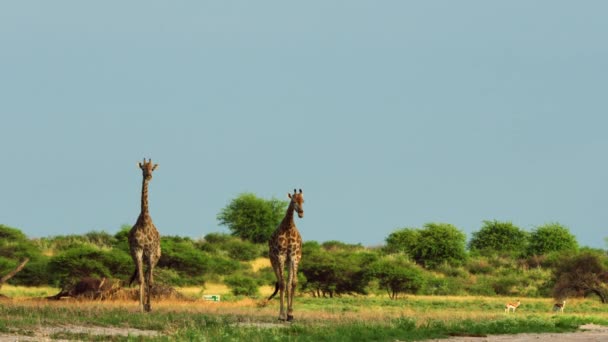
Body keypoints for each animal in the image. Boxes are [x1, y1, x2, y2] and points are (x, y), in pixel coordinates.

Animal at [268, 188, 304, 322]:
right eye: (293, 201)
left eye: (303, 200)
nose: (301, 213)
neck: (288, 227)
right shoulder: (281, 256)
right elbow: (283, 284)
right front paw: (282, 315)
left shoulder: (294, 256)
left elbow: (293, 283)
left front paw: (291, 314)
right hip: (273, 261)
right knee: (280, 281)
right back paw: (282, 314)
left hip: (288, 262)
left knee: (288, 283)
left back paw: (288, 314)